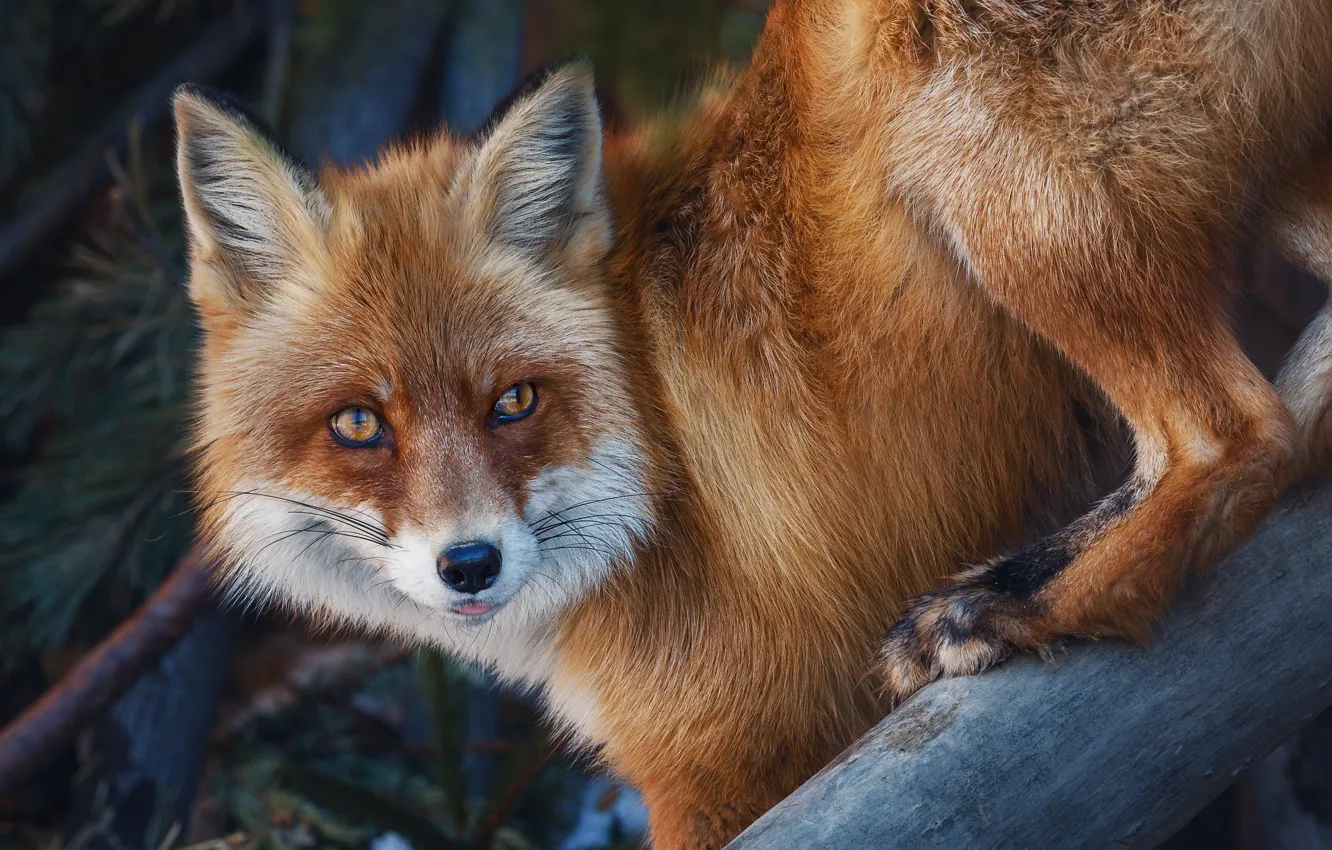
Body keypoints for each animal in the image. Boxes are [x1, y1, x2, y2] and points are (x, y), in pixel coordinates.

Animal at [174, 0, 1332, 846]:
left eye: (514, 401)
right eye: (358, 423)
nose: (470, 564)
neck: (652, 457)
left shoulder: (726, 755)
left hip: (973, 150)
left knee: (1239, 435)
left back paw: (1017, 606)